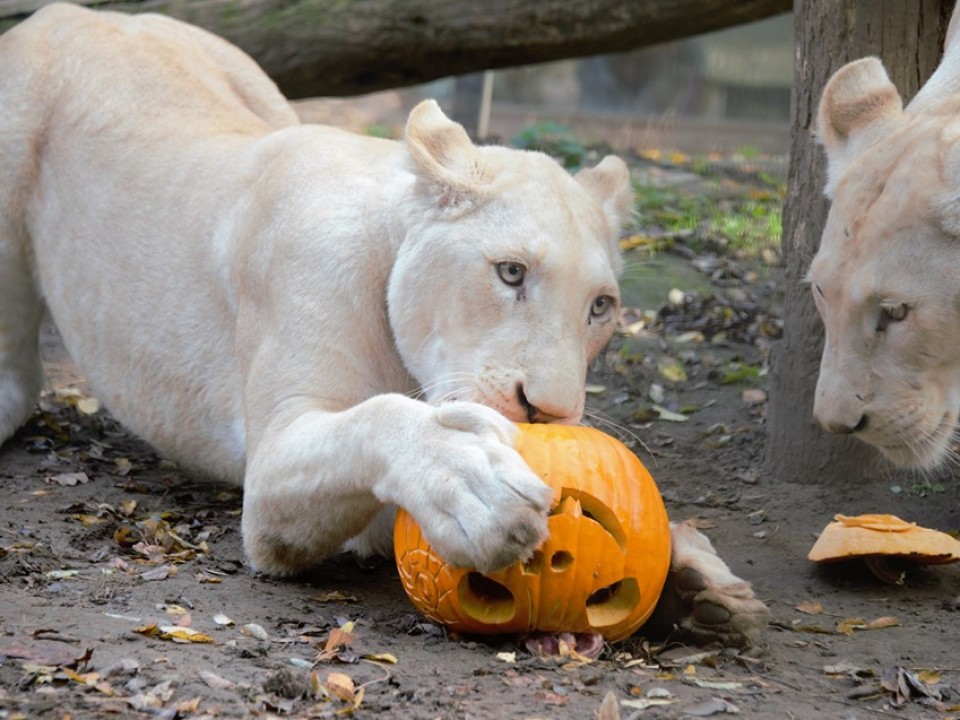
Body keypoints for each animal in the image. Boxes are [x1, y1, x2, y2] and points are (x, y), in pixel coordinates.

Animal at [0, 2, 764, 648]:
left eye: (600, 307)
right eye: (510, 272)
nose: (549, 412)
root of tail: (87, 13)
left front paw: (697, 581)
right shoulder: (272, 468)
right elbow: (379, 420)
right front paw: (473, 482)